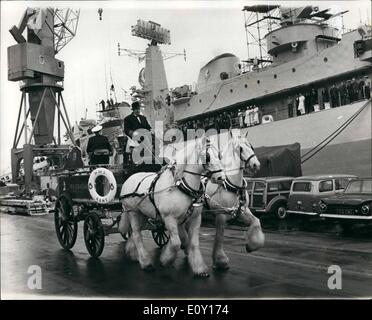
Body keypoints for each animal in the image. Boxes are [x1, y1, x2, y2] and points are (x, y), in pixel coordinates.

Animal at [117, 136, 225, 276]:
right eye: (207, 157)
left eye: (219, 155)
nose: (221, 177)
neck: (181, 186)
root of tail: (129, 179)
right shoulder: (169, 218)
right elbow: (176, 243)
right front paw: (166, 259)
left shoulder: (195, 219)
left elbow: (194, 243)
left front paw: (199, 269)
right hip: (133, 212)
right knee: (136, 234)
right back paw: (146, 263)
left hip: (143, 214)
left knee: (136, 233)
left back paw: (133, 255)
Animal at [180, 130, 264, 270]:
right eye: (240, 149)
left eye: (251, 146)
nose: (255, 165)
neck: (231, 185)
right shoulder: (220, 214)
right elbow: (220, 236)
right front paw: (220, 260)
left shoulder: (242, 210)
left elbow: (256, 221)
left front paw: (252, 245)